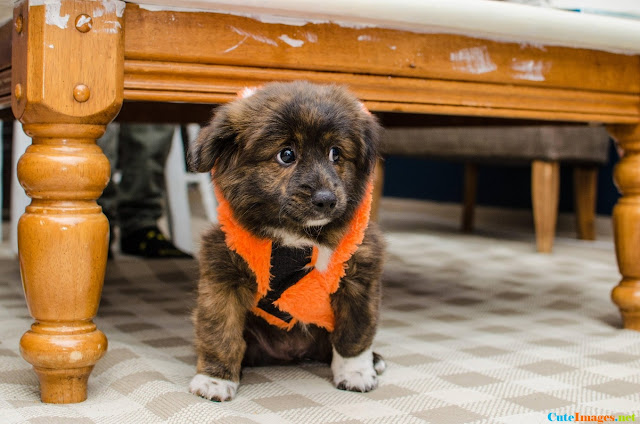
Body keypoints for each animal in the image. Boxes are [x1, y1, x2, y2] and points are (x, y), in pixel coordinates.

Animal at [187, 81, 386, 401]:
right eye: (287, 154)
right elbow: (220, 331)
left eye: (336, 153)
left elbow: (355, 333)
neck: (296, 238)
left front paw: (356, 373)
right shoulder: (222, 277)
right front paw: (215, 379)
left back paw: (374, 360)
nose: (326, 200)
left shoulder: (358, 278)